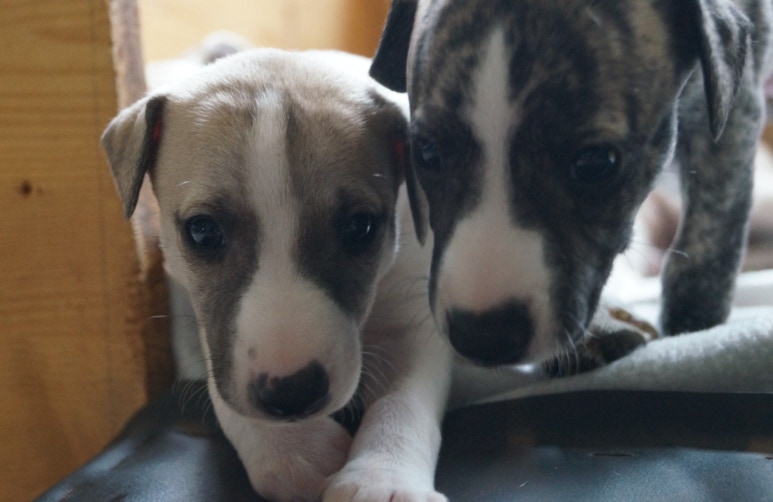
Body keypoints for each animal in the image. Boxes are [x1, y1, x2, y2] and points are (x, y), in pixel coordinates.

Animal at [101, 48, 454, 502]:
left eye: (361, 227)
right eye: (203, 231)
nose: (293, 393)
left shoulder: (415, 326)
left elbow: (403, 403)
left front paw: (383, 480)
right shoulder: (202, 322)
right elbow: (221, 379)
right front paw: (292, 450)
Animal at [369, 0, 773, 367]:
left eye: (594, 163)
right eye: (427, 153)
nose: (484, 338)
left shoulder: (732, 108)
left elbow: (711, 231)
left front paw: (692, 325)